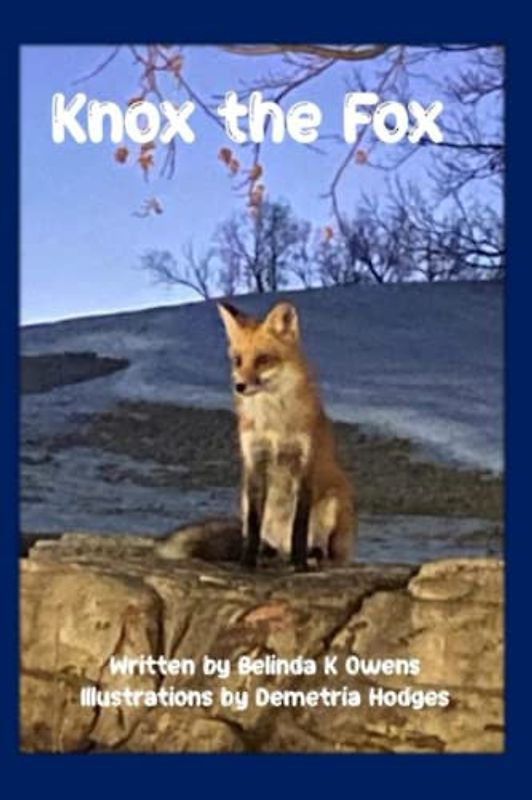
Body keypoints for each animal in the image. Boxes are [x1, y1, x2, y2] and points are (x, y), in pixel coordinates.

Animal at [216, 300, 356, 569]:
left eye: (263, 359)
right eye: (237, 360)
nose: (239, 386)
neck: (274, 423)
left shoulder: (304, 462)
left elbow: (299, 524)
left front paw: (298, 564)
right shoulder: (255, 461)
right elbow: (254, 524)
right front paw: (248, 561)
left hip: (333, 503)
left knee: (320, 547)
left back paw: (311, 557)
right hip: (243, 500)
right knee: (267, 539)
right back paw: (268, 553)